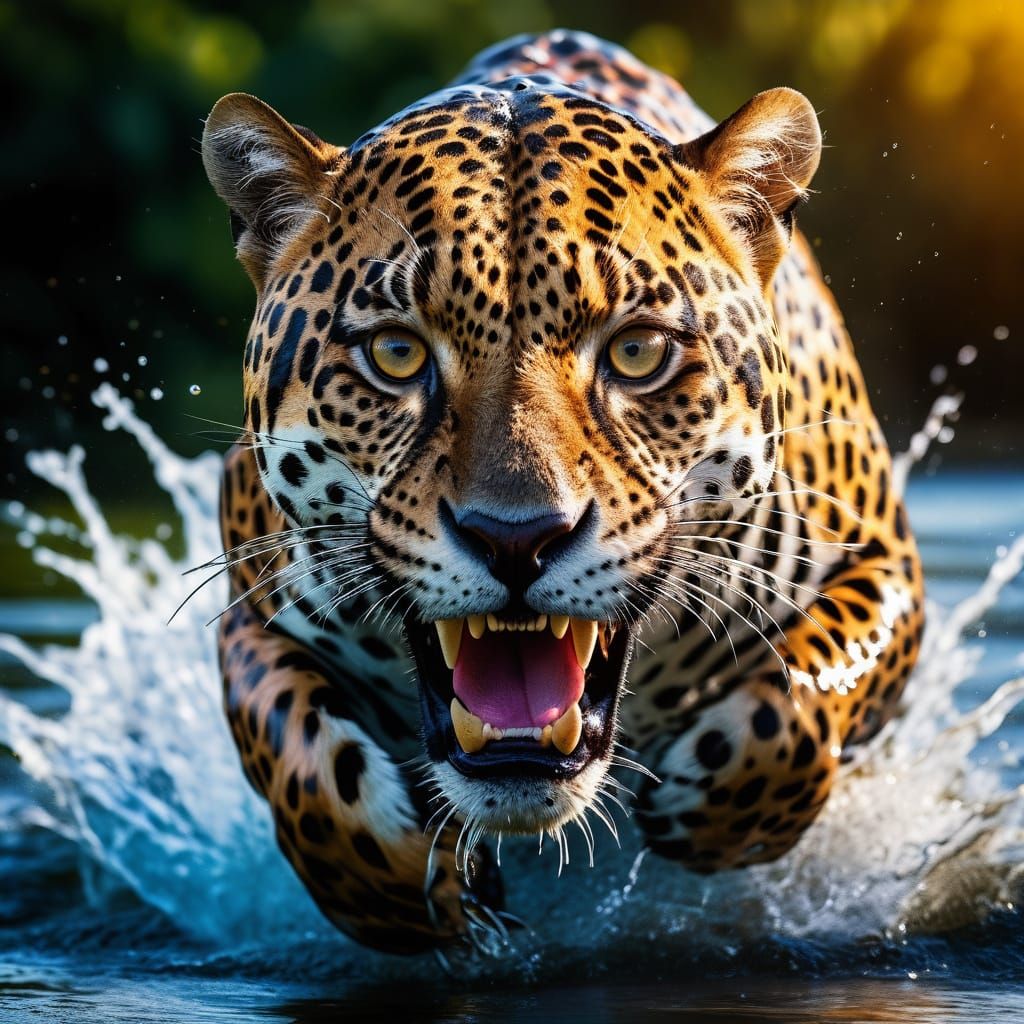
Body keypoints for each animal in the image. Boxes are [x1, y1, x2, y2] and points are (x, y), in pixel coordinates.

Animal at [201, 29, 923, 954]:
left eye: (638, 352)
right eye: (396, 353)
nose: (516, 538)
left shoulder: (883, 565)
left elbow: (800, 706)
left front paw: (704, 805)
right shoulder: (251, 610)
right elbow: (300, 759)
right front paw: (401, 886)